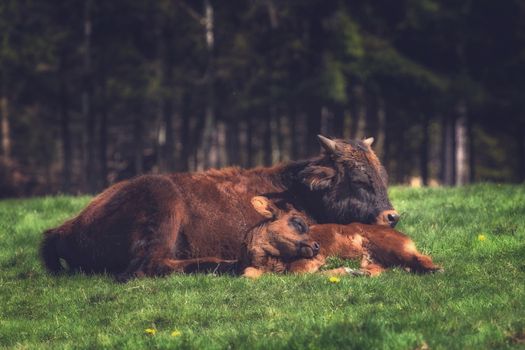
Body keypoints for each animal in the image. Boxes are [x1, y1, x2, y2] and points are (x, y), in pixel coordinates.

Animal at [41, 135, 398, 280]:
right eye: (359, 178)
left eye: (383, 176)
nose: (391, 217)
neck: (299, 188)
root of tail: (64, 228)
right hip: (163, 208)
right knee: (147, 268)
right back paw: (224, 264)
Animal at [239, 196, 440, 278]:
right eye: (297, 222)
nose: (316, 245)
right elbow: (247, 273)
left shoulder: (313, 260)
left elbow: (298, 272)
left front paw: (343, 270)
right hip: (379, 260)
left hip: (393, 245)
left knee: (421, 257)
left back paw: (435, 269)